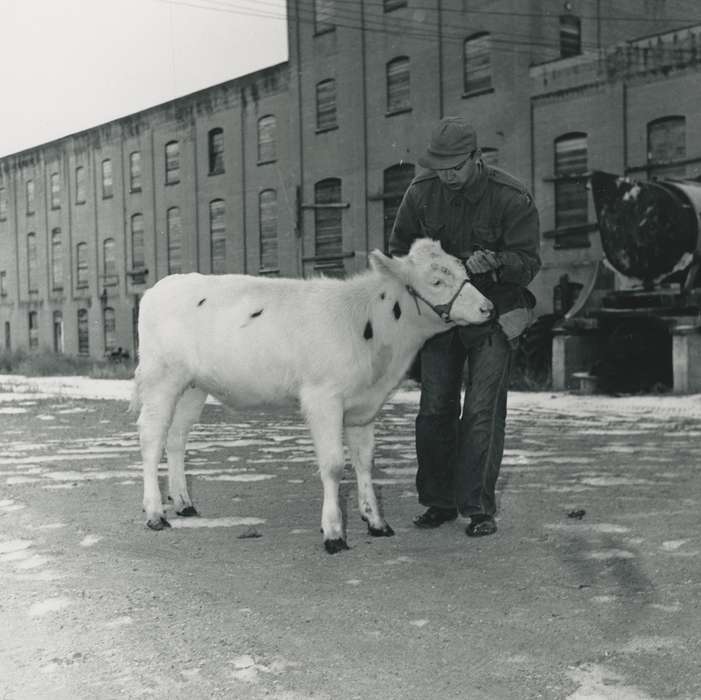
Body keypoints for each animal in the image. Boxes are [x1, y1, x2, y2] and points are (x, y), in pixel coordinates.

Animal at [131, 239, 492, 552]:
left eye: (465, 271)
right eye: (436, 281)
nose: (488, 307)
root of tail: (161, 287)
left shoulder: (364, 407)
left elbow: (365, 461)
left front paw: (376, 521)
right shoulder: (323, 398)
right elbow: (333, 465)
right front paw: (334, 533)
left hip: (193, 387)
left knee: (176, 438)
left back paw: (184, 503)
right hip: (162, 377)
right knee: (151, 437)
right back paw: (155, 513)